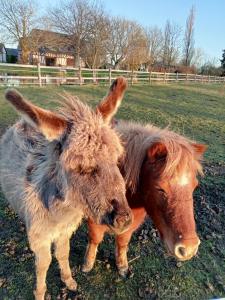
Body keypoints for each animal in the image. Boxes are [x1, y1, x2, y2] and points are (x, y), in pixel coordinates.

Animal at [83, 100, 207, 276]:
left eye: (194, 187)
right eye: (160, 188)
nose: (188, 249)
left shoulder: (131, 224)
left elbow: (122, 242)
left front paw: (122, 266)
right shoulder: (94, 219)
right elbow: (94, 239)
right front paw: (87, 264)